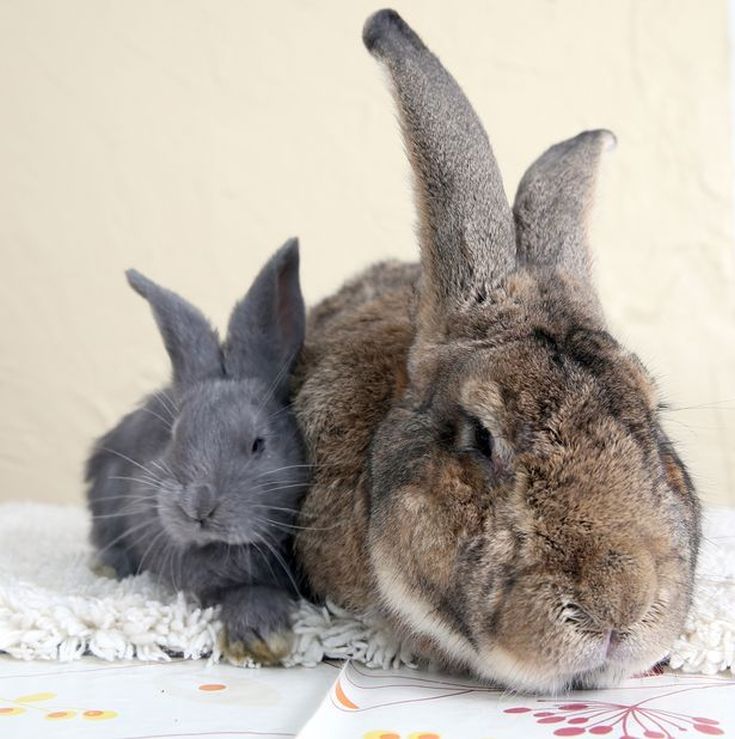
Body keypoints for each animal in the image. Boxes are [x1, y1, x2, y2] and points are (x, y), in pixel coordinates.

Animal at [87, 238, 310, 664]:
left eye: (258, 444)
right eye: (175, 435)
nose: (198, 507)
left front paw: (262, 638)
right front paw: (260, 637)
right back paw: (106, 567)